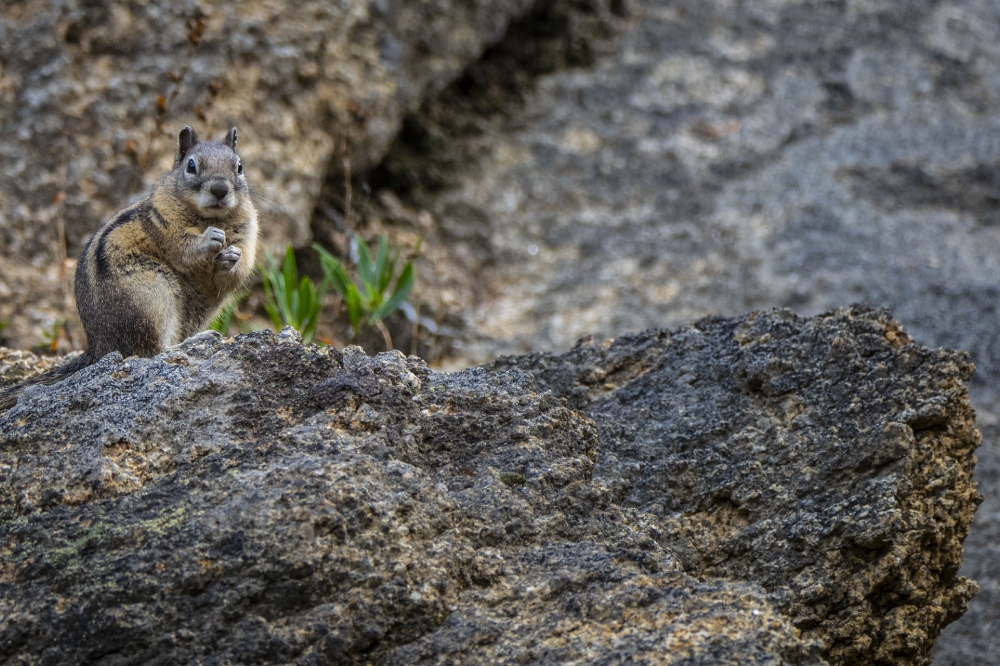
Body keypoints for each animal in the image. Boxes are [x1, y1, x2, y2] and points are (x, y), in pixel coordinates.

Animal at [0, 122, 258, 408]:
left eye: (239, 167)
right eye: (191, 166)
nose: (220, 189)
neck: (211, 218)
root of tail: (99, 347)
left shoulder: (248, 237)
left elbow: (235, 272)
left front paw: (231, 257)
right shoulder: (165, 228)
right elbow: (185, 250)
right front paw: (210, 239)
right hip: (153, 297)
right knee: (151, 352)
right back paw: (197, 340)